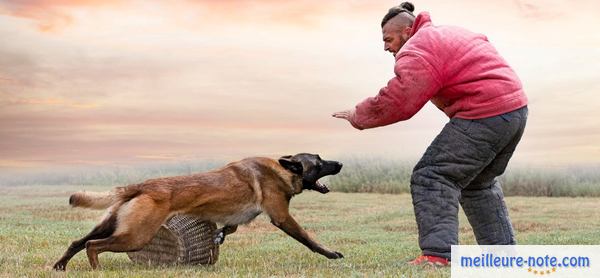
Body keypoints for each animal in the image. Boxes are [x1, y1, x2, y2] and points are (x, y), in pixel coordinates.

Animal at [54, 153, 344, 270]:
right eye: (319, 162)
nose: (340, 164)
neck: (282, 170)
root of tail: (141, 185)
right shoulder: (282, 218)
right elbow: (309, 240)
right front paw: (331, 254)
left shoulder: (236, 218)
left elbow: (228, 228)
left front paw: (218, 237)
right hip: (136, 237)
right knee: (92, 245)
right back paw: (95, 268)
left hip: (113, 224)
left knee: (77, 241)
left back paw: (60, 265)